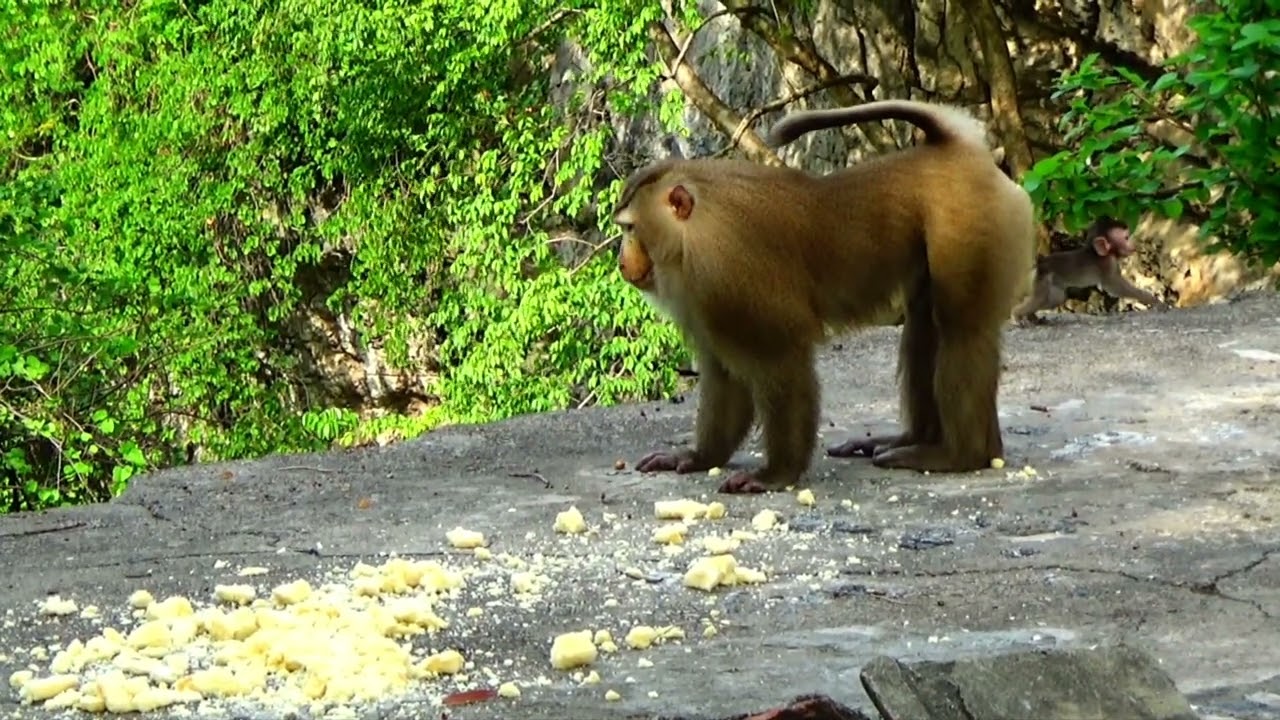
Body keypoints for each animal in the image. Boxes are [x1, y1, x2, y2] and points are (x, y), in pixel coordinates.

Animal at [613, 99, 1037, 494]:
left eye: (630, 229)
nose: (621, 261)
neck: (691, 235)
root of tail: (957, 150)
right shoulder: (703, 298)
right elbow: (724, 373)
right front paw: (699, 457)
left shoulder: (726, 276)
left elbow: (782, 361)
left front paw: (776, 475)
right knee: (924, 325)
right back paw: (919, 440)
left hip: (971, 223)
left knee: (961, 329)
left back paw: (961, 455)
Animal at [1011, 216, 1169, 324]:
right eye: (1125, 238)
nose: (1132, 245)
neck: (1097, 252)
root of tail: (1041, 262)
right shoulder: (1107, 265)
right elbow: (1115, 287)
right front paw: (1154, 301)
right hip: (1043, 279)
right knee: (1040, 298)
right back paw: (1017, 315)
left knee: (1055, 299)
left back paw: (1032, 317)